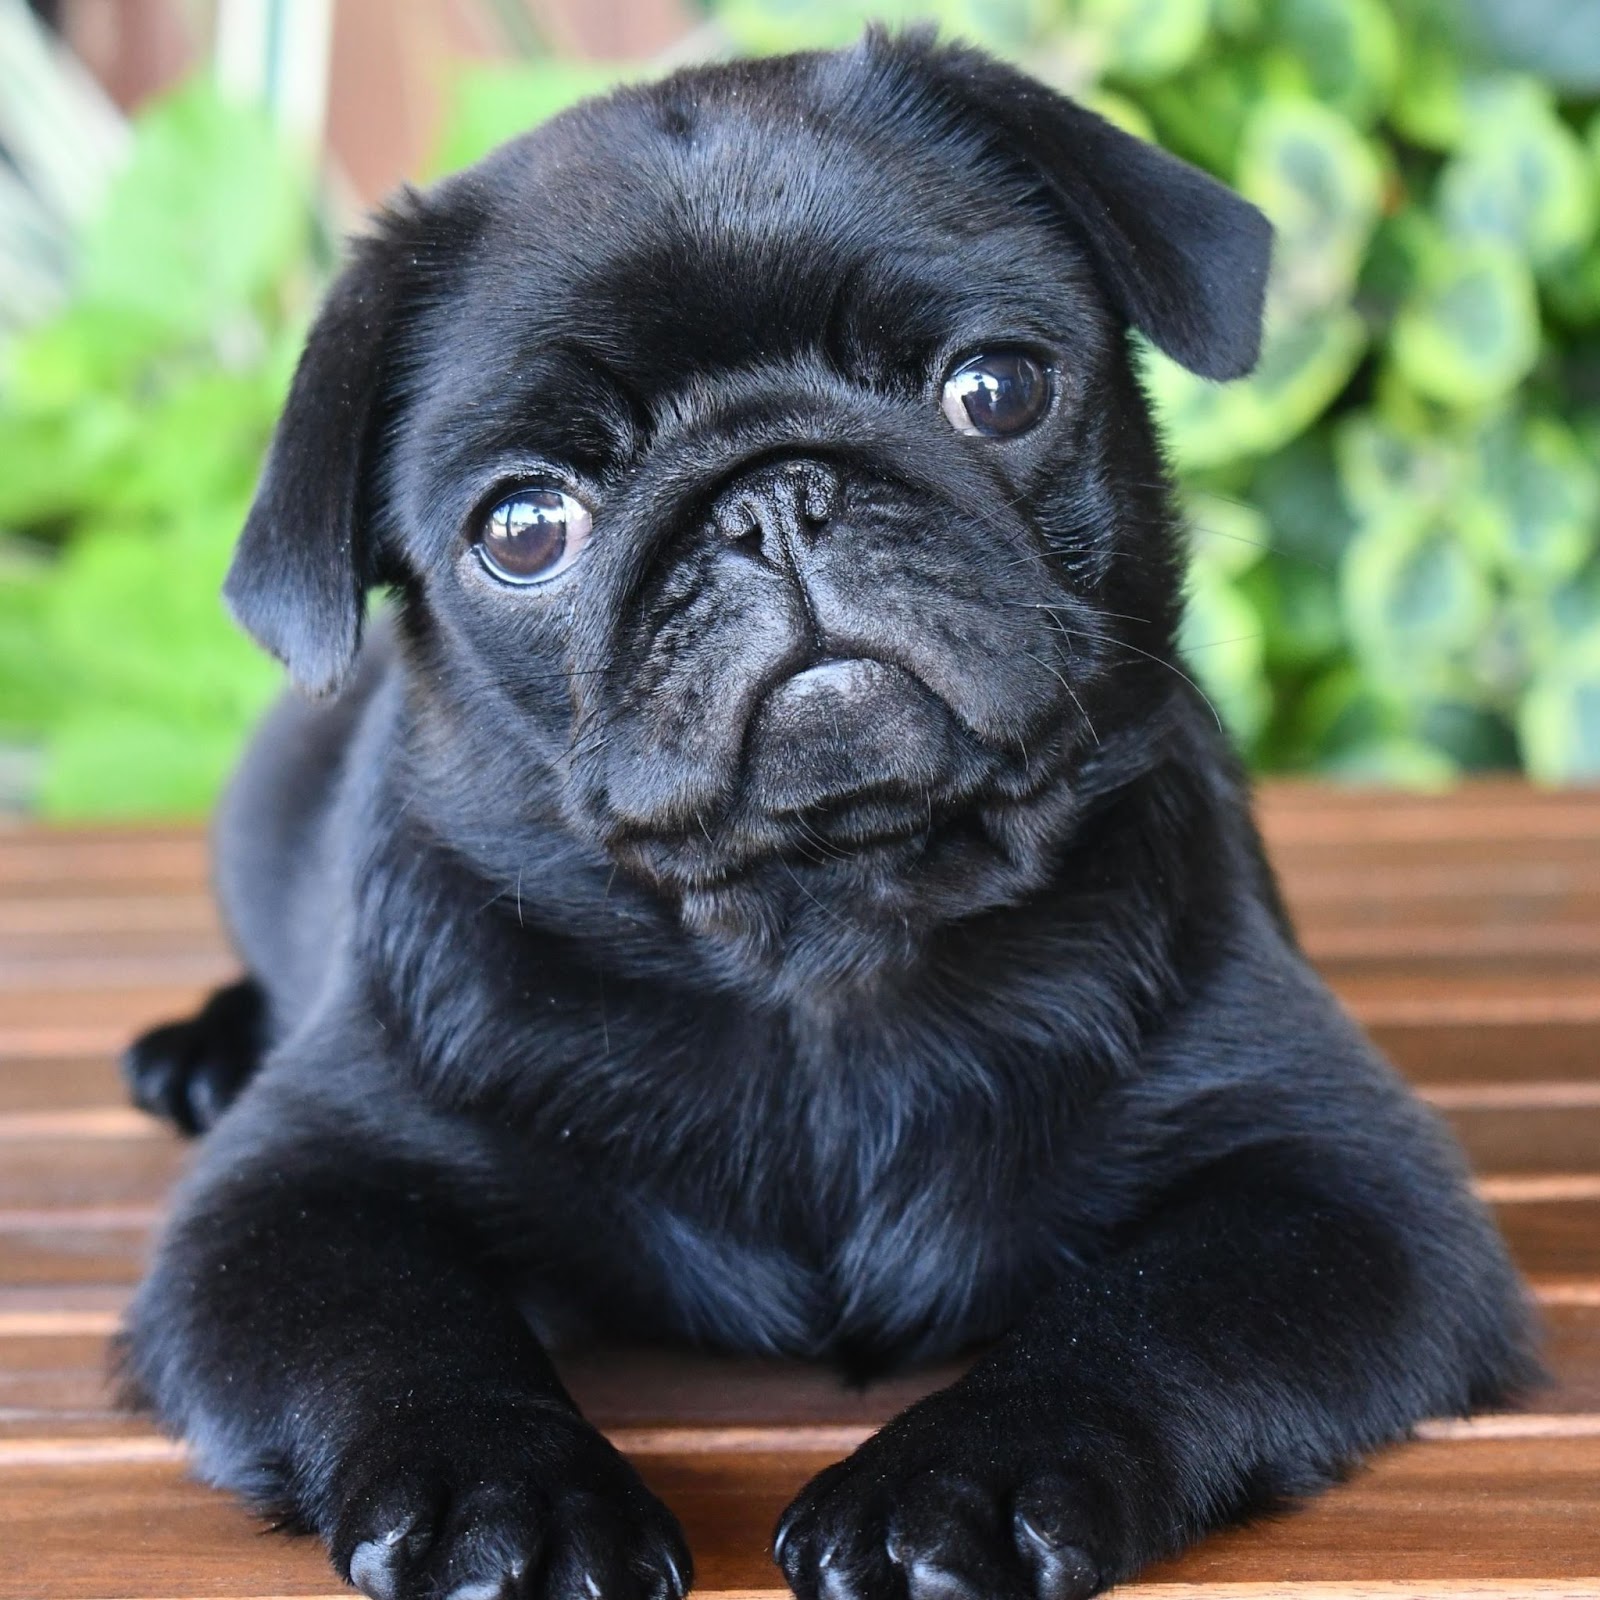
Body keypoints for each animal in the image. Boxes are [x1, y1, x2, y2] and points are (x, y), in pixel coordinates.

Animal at [118, 28, 1529, 1600]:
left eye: (996, 390)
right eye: (525, 529)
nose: (771, 495)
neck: (825, 940)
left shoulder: (1341, 1182)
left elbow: (1147, 1318)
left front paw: (968, 1479)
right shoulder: (294, 1200)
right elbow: (403, 1341)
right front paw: (505, 1500)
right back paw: (202, 1051)